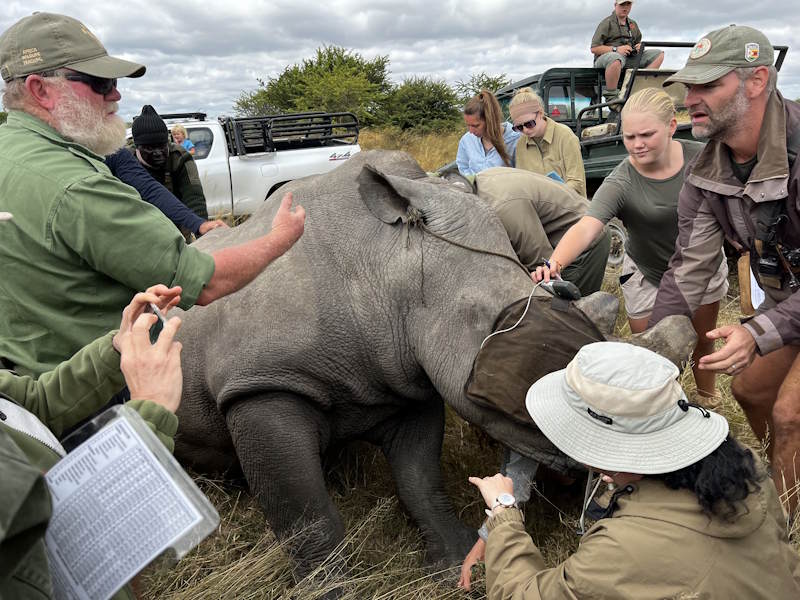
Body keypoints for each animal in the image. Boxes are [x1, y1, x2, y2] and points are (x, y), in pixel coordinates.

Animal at [173, 150, 695, 581]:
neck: (386, 263)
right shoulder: (262, 384)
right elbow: (305, 512)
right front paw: (330, 587)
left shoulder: (404, 376)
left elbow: (419, 477)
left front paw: (454, 562)